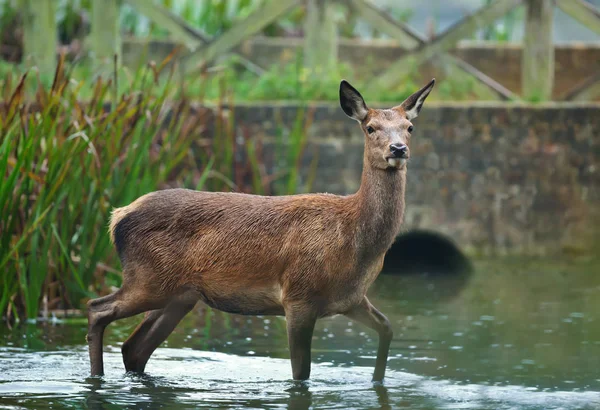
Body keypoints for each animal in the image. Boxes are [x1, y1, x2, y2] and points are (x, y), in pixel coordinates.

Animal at [86, 77, 434, 382]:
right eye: (370, 127)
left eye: (410, 127)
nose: (398, 149)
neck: (355, 243)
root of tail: (116, 217)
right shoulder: (298, 296)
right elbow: (301, 373)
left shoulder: (351, 298)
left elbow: (387, 328)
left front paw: (377, 382)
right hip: (147, 279)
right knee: (96, 309)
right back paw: (96, 376)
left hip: (179, 294)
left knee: (133, 348)